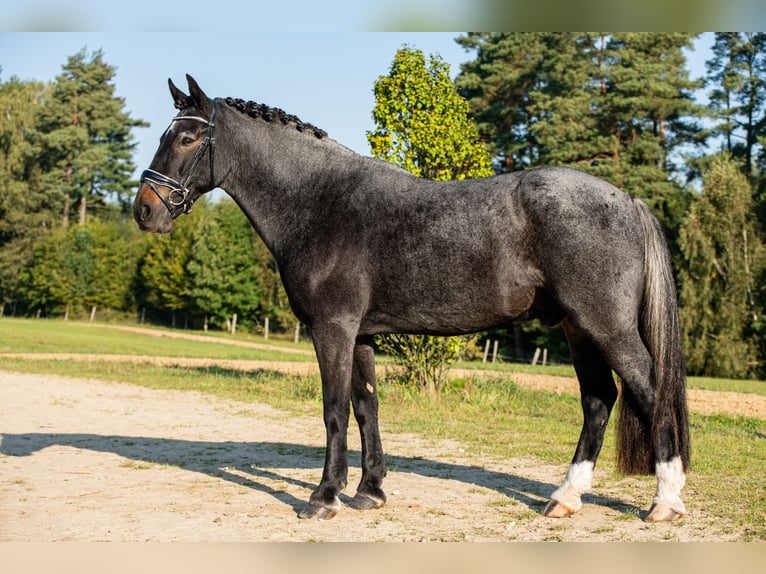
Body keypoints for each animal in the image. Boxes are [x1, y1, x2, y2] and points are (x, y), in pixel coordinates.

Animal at [132, 74, 688, 524]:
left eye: (187, 137)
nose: (144, 210)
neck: (320, 201)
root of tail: (628, 200)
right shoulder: (360, 334)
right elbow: (365, 407)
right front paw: (369, 491)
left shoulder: (331, 328)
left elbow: (334, 410)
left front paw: (324, 497)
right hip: (578, 328)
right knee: (598, 400)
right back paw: (565, 498)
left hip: (606, 326)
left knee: (649, 389)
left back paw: (665, 501)